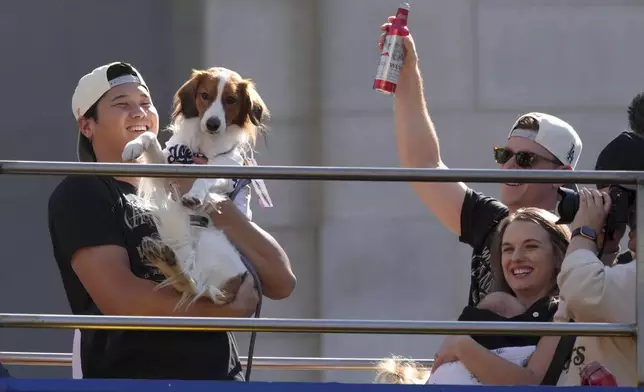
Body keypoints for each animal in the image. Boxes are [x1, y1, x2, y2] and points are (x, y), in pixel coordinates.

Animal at [121, 66, 270, 306]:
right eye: (205, 95)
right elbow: (149, 136)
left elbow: (204, 178)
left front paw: (195, 196)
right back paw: (164, 259)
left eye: (231, 99)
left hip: (213, 244)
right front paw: (133, 146)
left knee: (195, 285)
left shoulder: (226, 170)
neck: (205, 146)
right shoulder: (167, 171)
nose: (212, 124)